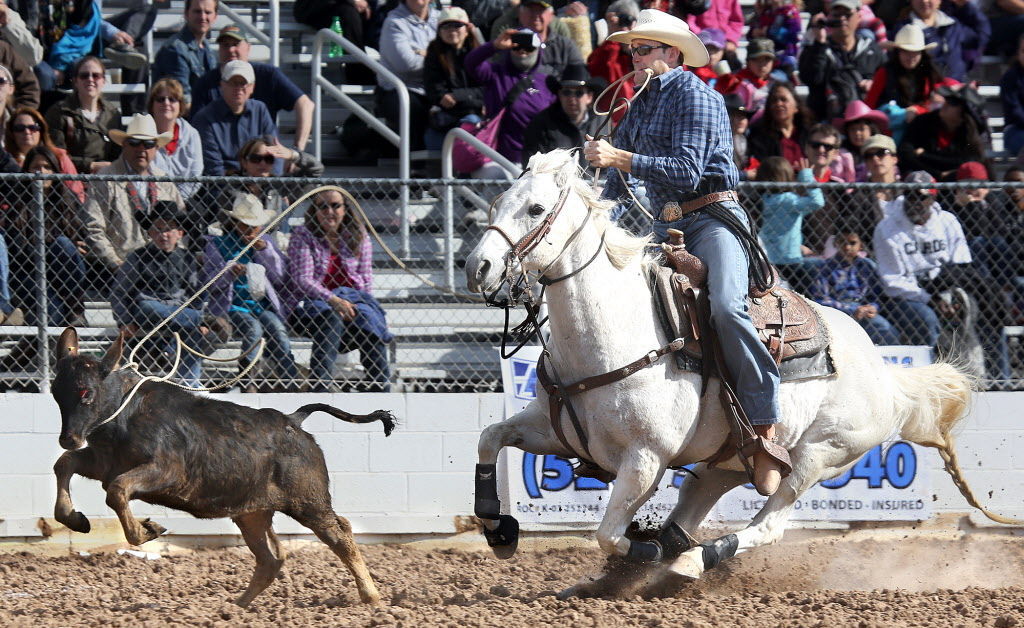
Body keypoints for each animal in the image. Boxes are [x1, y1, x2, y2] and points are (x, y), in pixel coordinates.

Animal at [464, 149, 983, 594]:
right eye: (498, 201)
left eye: (535, 208)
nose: (478, 267)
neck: (613, 333)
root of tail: (884, 373)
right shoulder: (551, 430)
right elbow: (489, 437)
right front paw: (498, 529)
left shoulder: (645, 459)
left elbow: (608, 533)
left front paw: (646, 551)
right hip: (726, 462)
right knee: (693, 509)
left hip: (819, 456)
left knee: (767, 526)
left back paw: (687, 563)